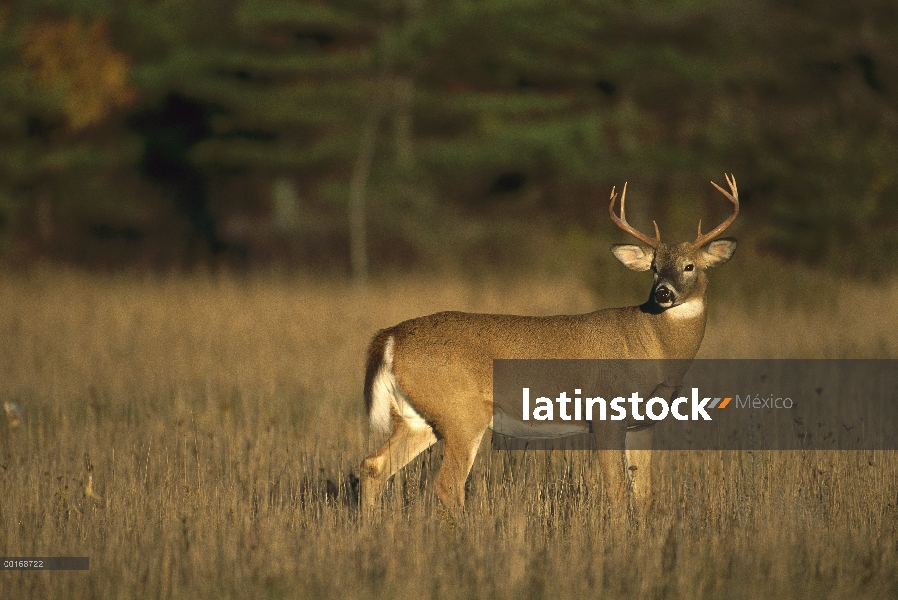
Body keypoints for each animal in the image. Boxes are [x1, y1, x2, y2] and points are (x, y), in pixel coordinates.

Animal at [360, 172, 740, 516]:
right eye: (654, 267)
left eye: (690, 266)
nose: (663, 293)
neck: (653, 347)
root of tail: (390, 337)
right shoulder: (605, 413)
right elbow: (617, 492)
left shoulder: (643, 423)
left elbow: (644, 496)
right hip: (461, 412)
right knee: (447, 485)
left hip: (418, 416)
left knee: (373, 467)